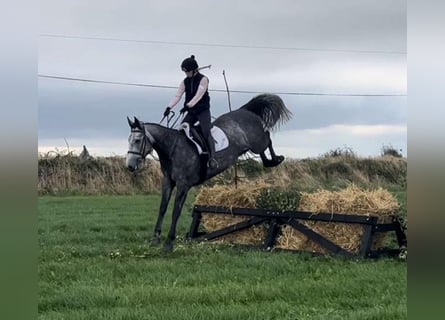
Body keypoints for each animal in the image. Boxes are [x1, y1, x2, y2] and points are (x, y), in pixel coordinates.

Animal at [125, 93, 292, 252]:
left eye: (138, 140)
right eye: (128, 140)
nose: (130, 165)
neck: (172, 149)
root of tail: (244, 110)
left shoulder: (183, 185)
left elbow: (175, 211)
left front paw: (169, 243)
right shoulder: (168, 182)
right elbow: (162, 209)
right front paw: (155, 239)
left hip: (257, 141)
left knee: (268, 138)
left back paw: (276, 159)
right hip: (253, 145)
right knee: (265, 147)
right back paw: (270, 162)